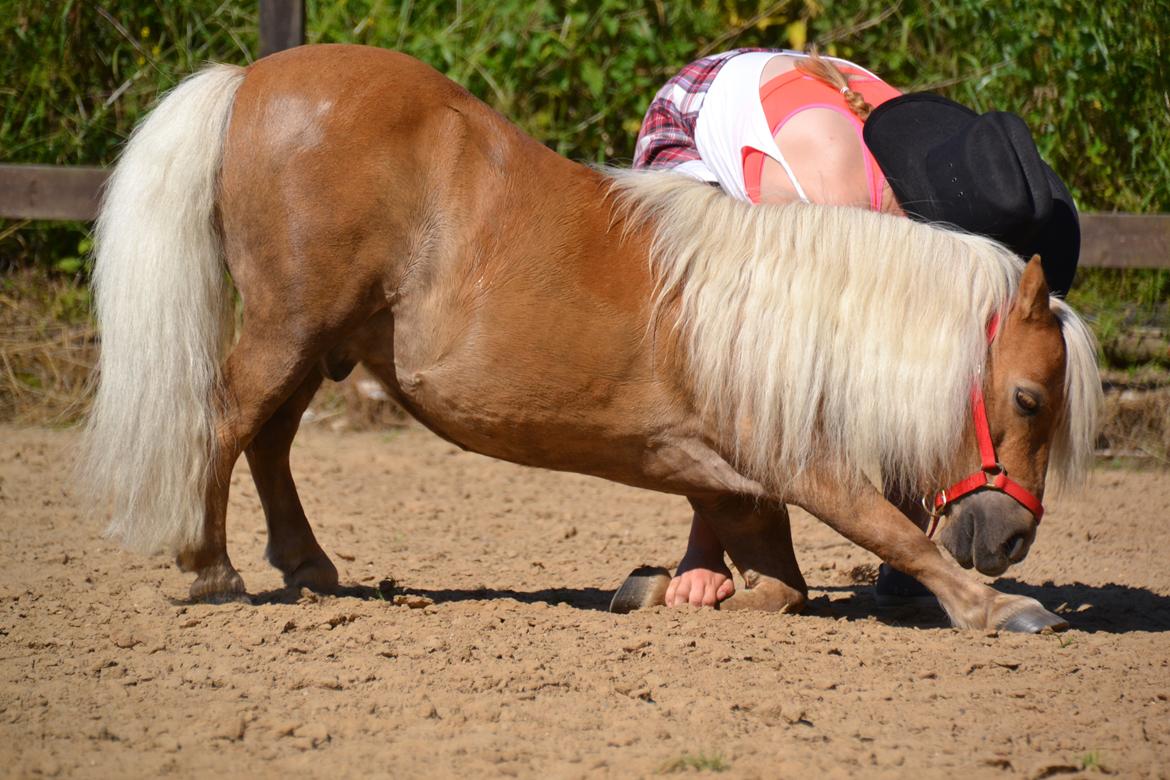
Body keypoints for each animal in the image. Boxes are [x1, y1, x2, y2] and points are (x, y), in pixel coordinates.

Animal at [80, 44, 1101, 633]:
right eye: (1028, 398)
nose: (1013, 538)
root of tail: (254, 77)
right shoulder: (803, 466)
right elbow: (891, 533)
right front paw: (999, 609)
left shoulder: (737, 478)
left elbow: (781, 586)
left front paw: (668, 592)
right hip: (288, 328)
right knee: (224, 426)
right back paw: (209, 570)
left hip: (313, 338)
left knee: (271, 441)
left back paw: (308, 567)